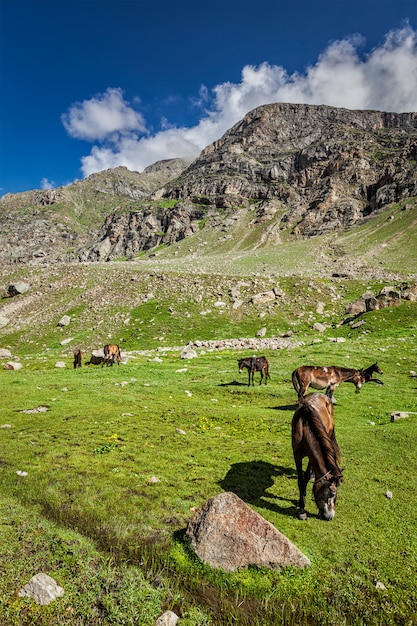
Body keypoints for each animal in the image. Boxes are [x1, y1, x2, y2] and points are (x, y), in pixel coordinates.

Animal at [290, 392, 342, 520]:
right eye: (332, 494)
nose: (330, 516)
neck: (304, 426)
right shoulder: (297, 454)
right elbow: (301, 480)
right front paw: (301, 509)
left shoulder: (310, 457)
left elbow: (306, 476)